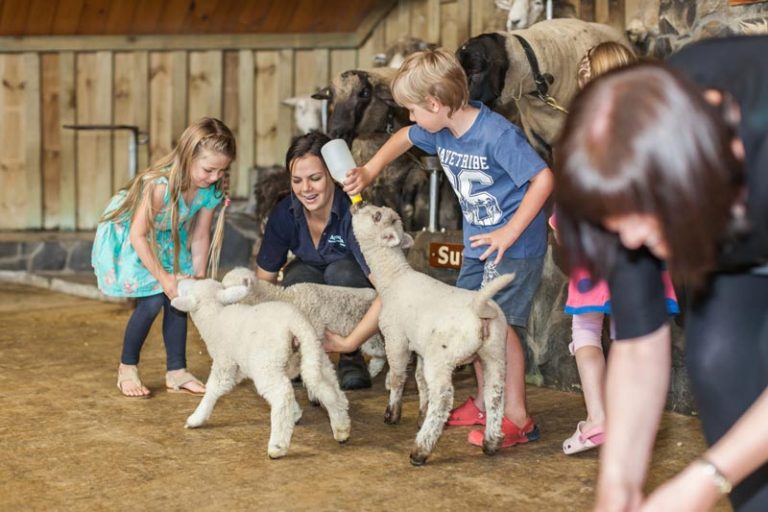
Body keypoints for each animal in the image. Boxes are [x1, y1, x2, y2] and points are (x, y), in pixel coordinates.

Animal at [171, 280, 352, 460]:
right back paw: (341, 427)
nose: (179, 282)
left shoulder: (224, 362)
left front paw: (196, 418)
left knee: (282, 395)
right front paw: (295, 414)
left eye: (189, 289)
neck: (214, 317)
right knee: (328, 388)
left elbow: (215, 388)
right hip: (315, 355)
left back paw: (277, 446)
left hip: (267, 364)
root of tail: (297, 324)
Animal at [222, 268, 390, 380]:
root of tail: (375, 293)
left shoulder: (314, 333)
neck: (287, 298)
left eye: (229, 289)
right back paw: (373, 371)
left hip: (369, 334)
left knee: (384, 351)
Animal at [352, 203, 512, 464]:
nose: (358, 204)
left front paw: (392, 413)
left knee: (444, 398)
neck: (393, 277)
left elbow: (398, 377)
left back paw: (421, 449)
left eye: (376, 216)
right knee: (495, 394)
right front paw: (420, 413)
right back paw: (491, 442)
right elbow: (420, 381)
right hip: (495, 352)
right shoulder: (420, 347)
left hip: (443, 356)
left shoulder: (396, 339)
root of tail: (480, 307)